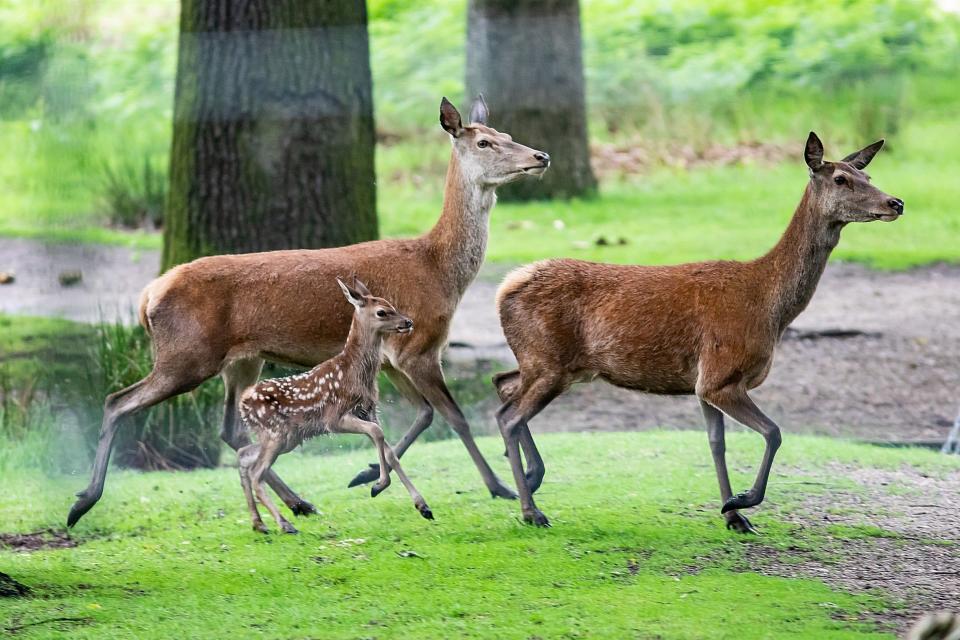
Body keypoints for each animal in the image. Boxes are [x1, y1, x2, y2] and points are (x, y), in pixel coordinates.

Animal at [238, 278, 434, 532]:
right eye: (382, 312)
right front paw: (379, 485)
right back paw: (285, 524)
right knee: (256, 473)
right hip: (276, 433)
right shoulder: (335, 417)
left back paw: (259, 524)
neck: (355, 373)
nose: (408, 322)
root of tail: (243, 402)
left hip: (286, 437)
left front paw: (423, 506)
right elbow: (377, 433)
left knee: (243, 456)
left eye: (392, 304)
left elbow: (390, 452)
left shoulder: (369, 411)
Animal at [492, 132, 904, 528]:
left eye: (867, 176)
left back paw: (525, 479)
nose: (896, 202)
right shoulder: (721, 373)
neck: (769, 308)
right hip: (549, 362)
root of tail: (505, 287)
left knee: (502, 387)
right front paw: (741, 501)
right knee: (511, 417)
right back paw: (531, 509)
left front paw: (733, 515)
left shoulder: (703, 384)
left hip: (546, 363)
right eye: (841, 179)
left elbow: (716, 443)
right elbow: (773, 432)